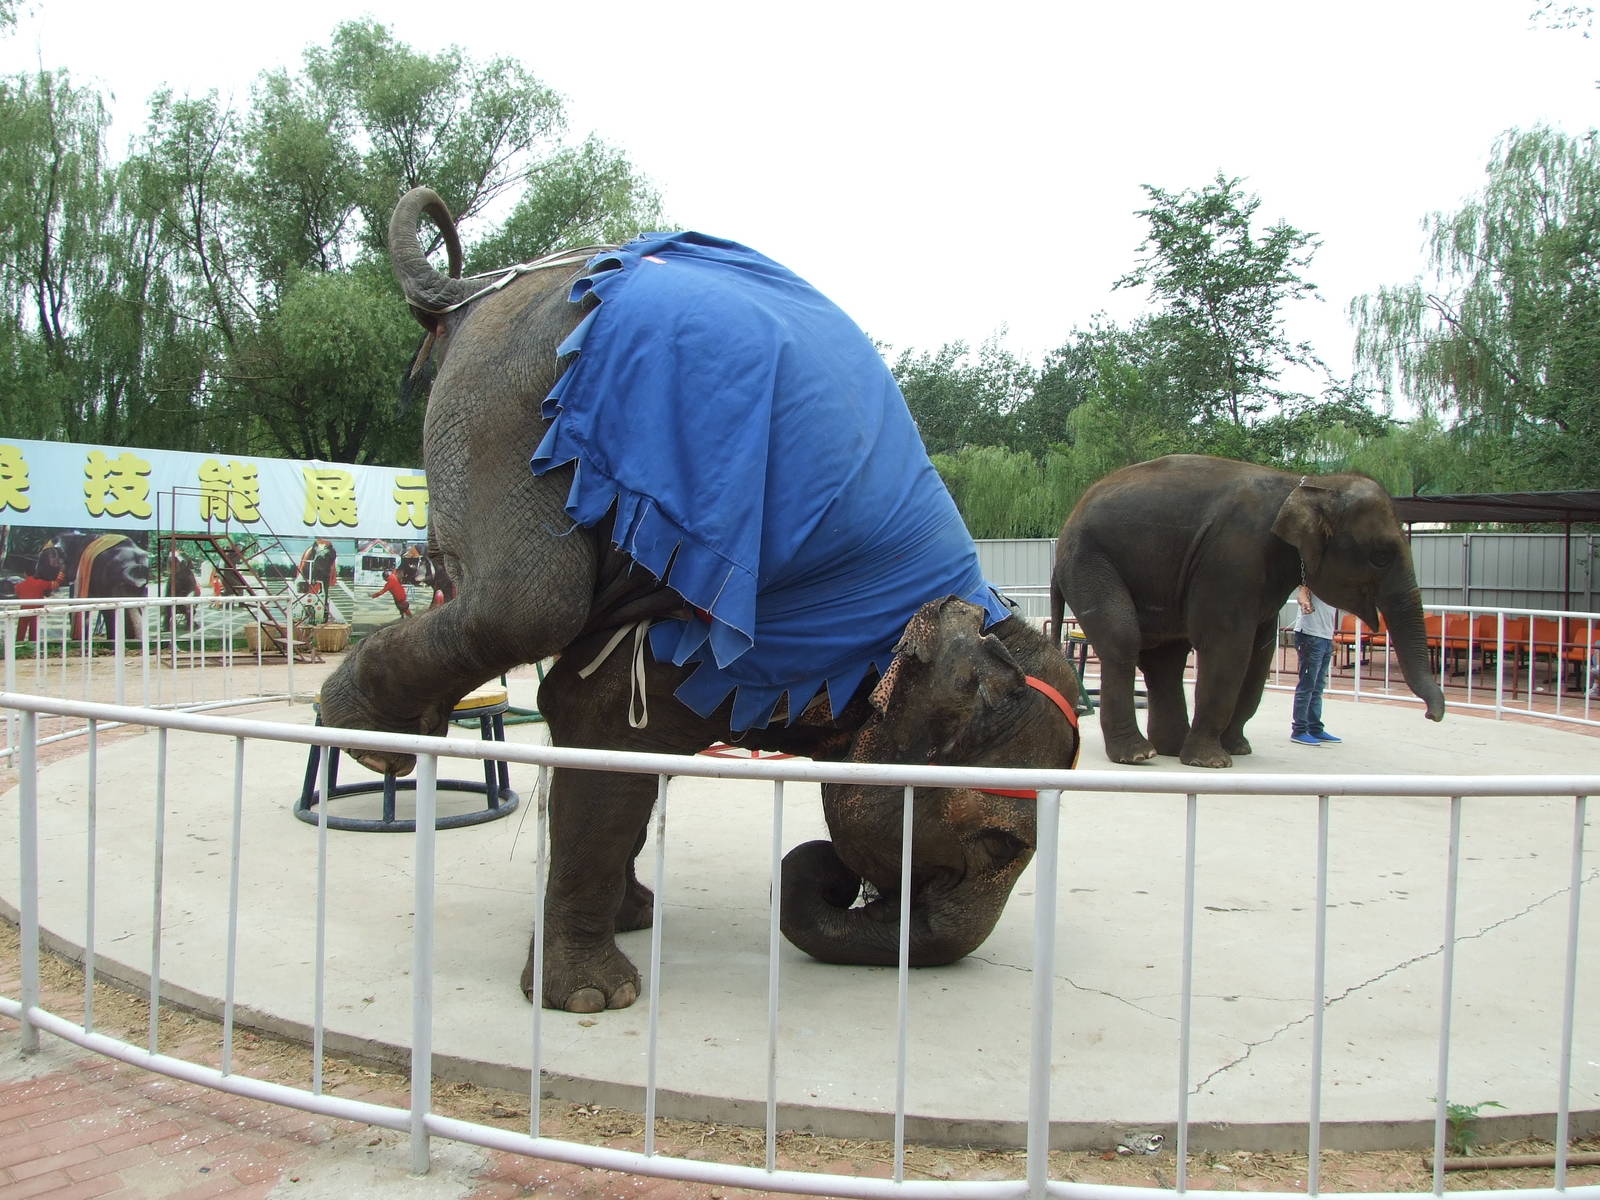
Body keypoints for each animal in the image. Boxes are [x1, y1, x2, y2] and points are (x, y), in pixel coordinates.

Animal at [316, 187, 1084, 1013]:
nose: (829, 872)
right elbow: (604, 736)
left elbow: (612, 748)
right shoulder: (741, 649)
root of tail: (484, 284)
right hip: (509, 390)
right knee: (528, 601)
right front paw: (592, 999)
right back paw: (374, 737)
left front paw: (634, 917)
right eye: (999, 843)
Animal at [1049, 454, 1446, 768]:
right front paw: (1213, 762)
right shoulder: (1231, 558)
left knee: (1165, 658)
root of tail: (1068, 522)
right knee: (1124, 640)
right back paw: (1139, 755)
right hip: (1089, 561)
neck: (1305, 484)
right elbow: (1228, 648)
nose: (1432, 715)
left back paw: (1169, 748)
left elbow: (1260, 653)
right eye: (1380, 557)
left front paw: (1237, 749)